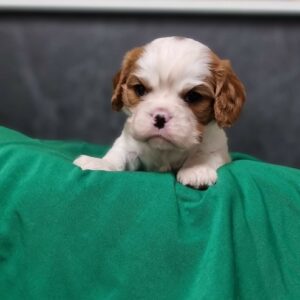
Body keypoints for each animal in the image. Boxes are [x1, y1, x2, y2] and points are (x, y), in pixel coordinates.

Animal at [74, 37, 245, 188]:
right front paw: (101, 162)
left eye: (193, 96)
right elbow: (119, 154)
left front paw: (197, 169)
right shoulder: (129, 143)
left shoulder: (217, 147)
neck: (165, 150)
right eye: (140, 89)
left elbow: (204, 154)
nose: (160, 118)